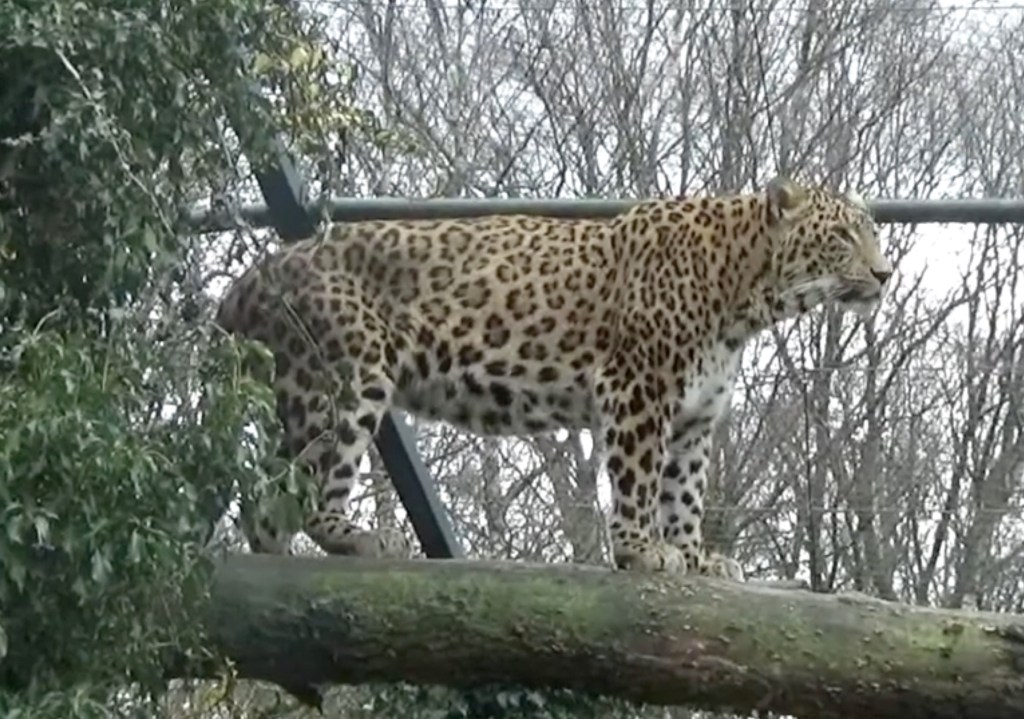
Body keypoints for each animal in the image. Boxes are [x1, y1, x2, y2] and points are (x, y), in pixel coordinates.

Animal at [214, 175, 893, 578]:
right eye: (840, 236)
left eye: (872, 232)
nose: (885, 275)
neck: (748, 293)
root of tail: (254, 274)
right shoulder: (638, 387)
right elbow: (640, 478)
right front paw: (641, 550)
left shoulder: (694, 419)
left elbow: (684, 493)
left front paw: (695, 555)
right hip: (346, 374)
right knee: (311, 483)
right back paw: (355, 539)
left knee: (264, 502)